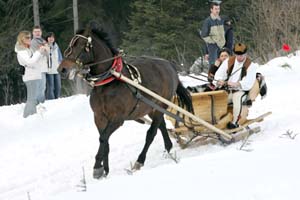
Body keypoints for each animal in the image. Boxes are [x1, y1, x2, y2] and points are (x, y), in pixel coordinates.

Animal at [59, 25, 195, 180]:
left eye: (81, 45)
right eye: (71, 44)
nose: (62, 69)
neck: (108, 82)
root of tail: (169, 65)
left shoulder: (118, 119)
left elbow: (103, 138)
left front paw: (97, 167)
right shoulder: (99, 117)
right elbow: (105, 140)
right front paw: (105, 169)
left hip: (162, 105)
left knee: (151, 133)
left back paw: (139, 161)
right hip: (152, 108)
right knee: (161, 126)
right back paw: (168, 148)